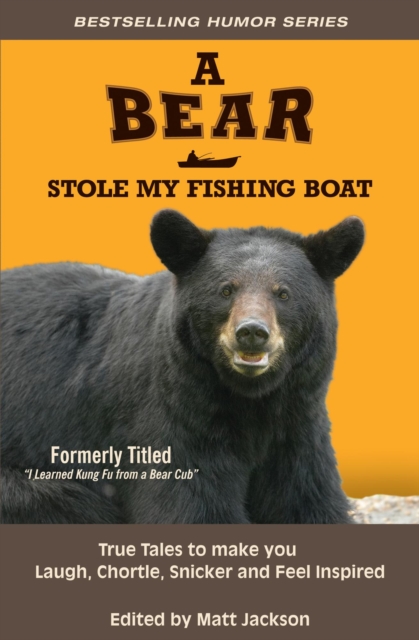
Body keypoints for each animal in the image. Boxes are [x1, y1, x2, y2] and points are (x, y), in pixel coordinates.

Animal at [1, 210, 364, 524]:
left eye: (283, 293)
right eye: (226, 289)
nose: (251, 332)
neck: (250, 400)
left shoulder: (298, 423)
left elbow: (306, 497)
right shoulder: (176, 415)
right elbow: (190, 502)